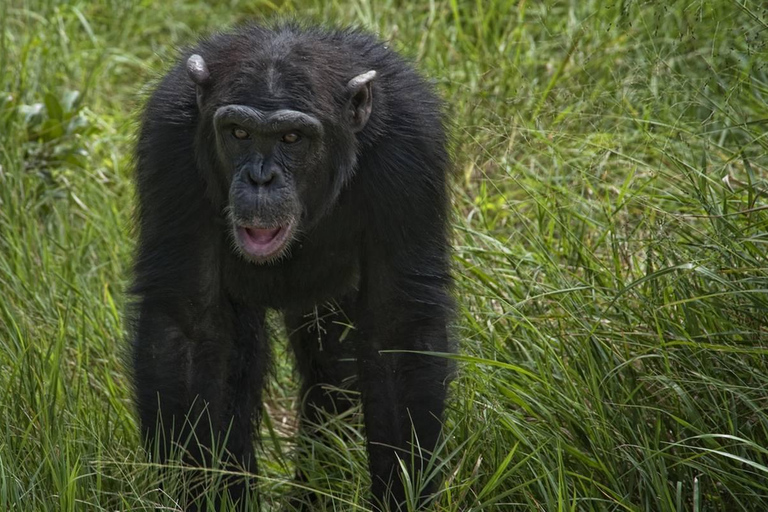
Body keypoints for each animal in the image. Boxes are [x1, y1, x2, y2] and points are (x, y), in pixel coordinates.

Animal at [131, 22, 452, 510]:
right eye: (239, 133)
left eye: (291, 139)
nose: (260, 178)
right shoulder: (168, 141)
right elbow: (189, 326)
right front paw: (197, 493)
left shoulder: (412, 148)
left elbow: (397, 333)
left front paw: (400, 495)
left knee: (332, 367)